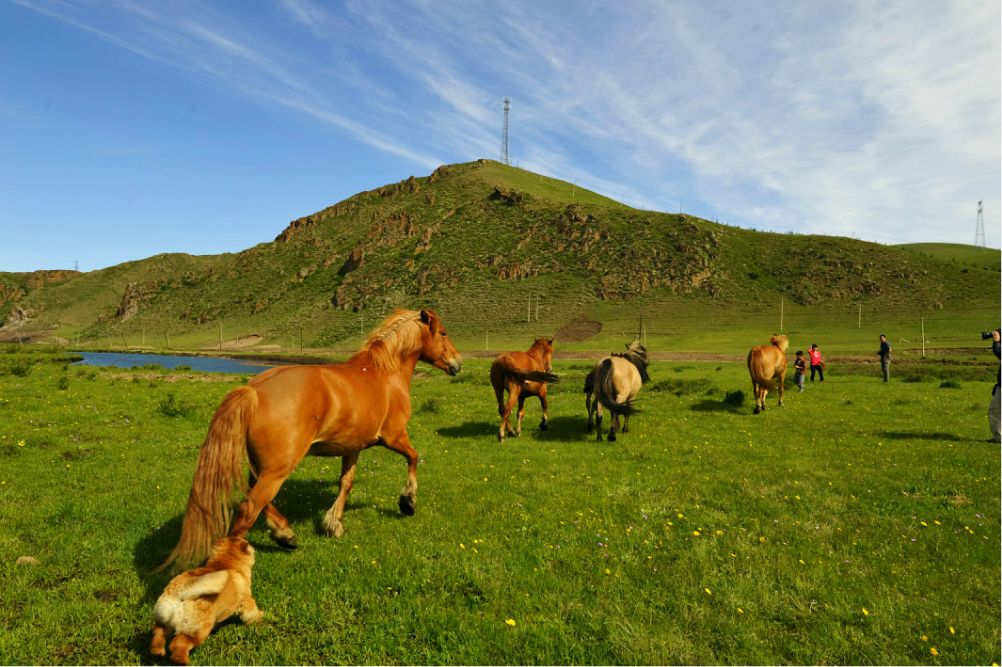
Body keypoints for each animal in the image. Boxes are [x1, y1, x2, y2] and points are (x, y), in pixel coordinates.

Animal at [157, 308, 460, 568]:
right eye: (444, 333)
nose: (457, 364)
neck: (384, 374)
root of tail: (254, 390)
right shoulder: (394, 437)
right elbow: (414, 457)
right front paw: (407, 502)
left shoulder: (352, 448)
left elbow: (346, 483)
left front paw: (334, 524)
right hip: (278, 468)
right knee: (249, 507)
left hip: (263, 467)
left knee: (257, 499)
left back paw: (285, 534)